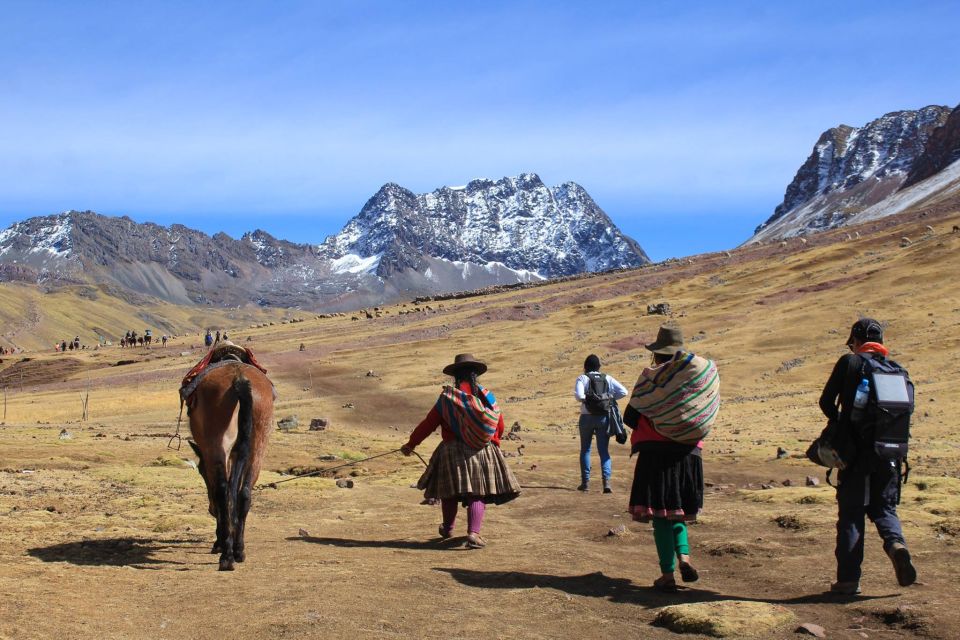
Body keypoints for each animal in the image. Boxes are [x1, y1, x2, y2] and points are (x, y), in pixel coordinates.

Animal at [186, 362, 274, 572]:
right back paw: (238, 550)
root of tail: (239, 378)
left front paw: (219, 542)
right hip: (258, 445)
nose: (210, 510)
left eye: (201, 471)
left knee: (222, 491)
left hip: (218, 445)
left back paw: (226, 555)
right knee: (244, 493)